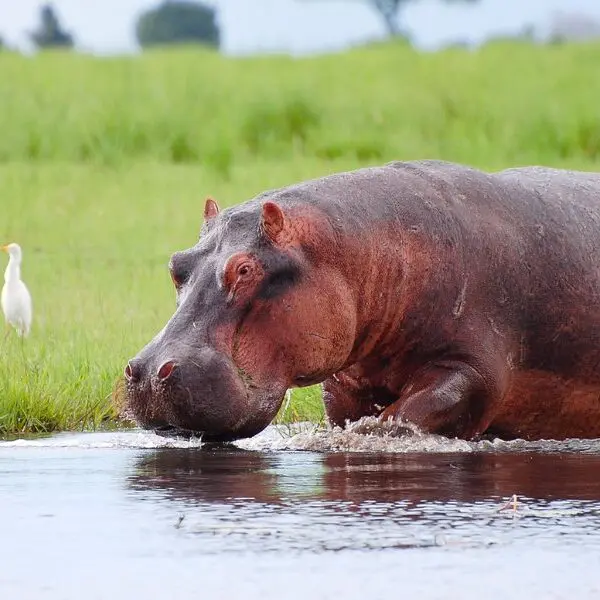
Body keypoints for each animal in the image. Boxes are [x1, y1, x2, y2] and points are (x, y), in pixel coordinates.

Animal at [124, 162, 600, 442]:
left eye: (244, 270)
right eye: (176, 264)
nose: (148, 373)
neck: (371, 250)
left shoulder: (474, 368)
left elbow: (408, 414)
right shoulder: (345, 382)